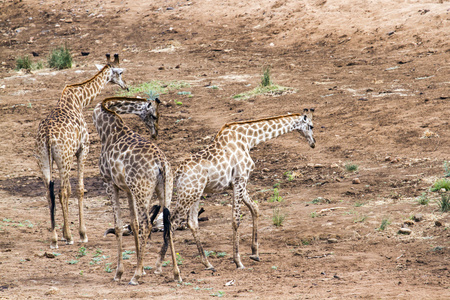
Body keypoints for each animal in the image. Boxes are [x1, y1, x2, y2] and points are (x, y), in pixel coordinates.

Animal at [35, 54, 127, 248]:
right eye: (120, 72)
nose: (125, 86)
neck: (79, 100)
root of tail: (47, 136)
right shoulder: (83, 149)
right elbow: (79, 189)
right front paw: (81, 234)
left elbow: (67, 190)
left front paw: (64, 233)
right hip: (64, 158)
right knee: (62, 191)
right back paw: (69, 237)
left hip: (43, 159)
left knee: (49, 193)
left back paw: (54, 238)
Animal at [92, 97, 181, 284]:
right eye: (154, 115)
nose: (155, 134)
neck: (106, 129)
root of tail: (161, 163)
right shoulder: (128, 189)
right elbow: (134, 223)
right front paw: (142, 268)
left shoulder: (109, 182)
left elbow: (118, 225)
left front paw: (119, 273)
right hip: (165, 190)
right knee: (168, 222)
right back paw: (176, 273)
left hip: (142, 191)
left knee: (148, 224)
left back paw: (135, 276)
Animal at [155, 108, 316, 272]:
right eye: (311, 126)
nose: (313, 143)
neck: (249, 139)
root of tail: (178, 173)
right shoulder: (240, 180)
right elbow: (236, 220)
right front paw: (238, 261)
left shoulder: (237, 183)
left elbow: (255, 208)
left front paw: (255, 253)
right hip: (187, 194)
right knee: (171, 223)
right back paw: (164, 266)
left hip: (195, 194)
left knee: (191, 222)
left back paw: (207, 263)